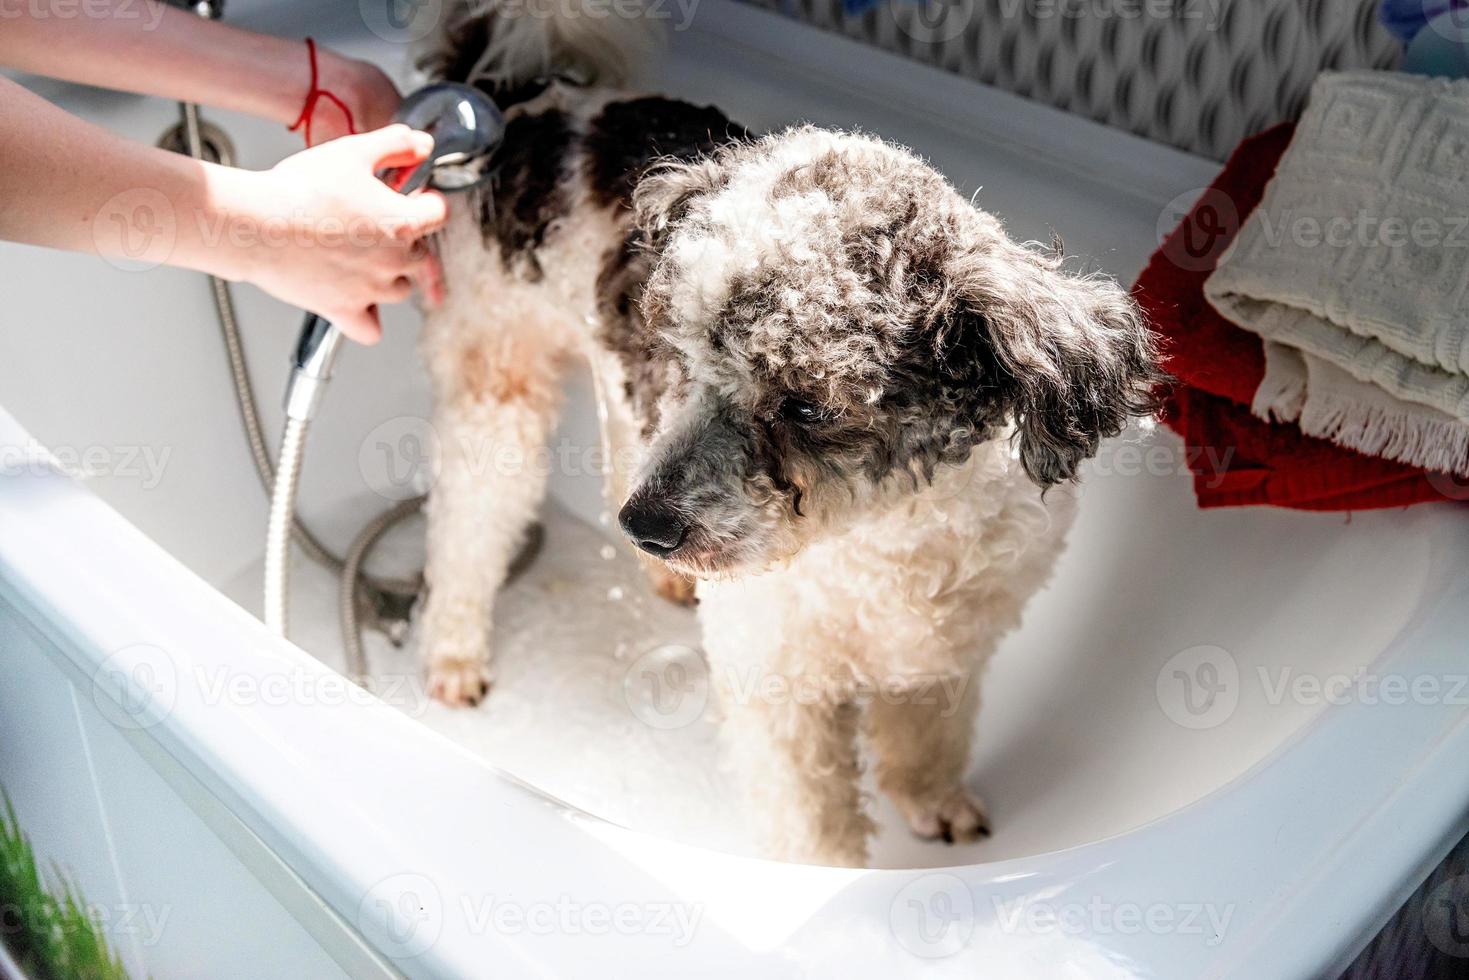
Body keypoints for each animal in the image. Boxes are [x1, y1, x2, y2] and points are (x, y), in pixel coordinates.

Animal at [414, 0, 1157, 863]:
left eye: (805, 405)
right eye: (685, 355)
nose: (649, 526)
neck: (888, 540)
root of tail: (525, 101)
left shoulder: (945, 653)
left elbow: (926, 742)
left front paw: (932, 802)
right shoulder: (780, 692)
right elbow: (813, 829)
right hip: (496, 382)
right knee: (470, 521)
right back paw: (455, 650)